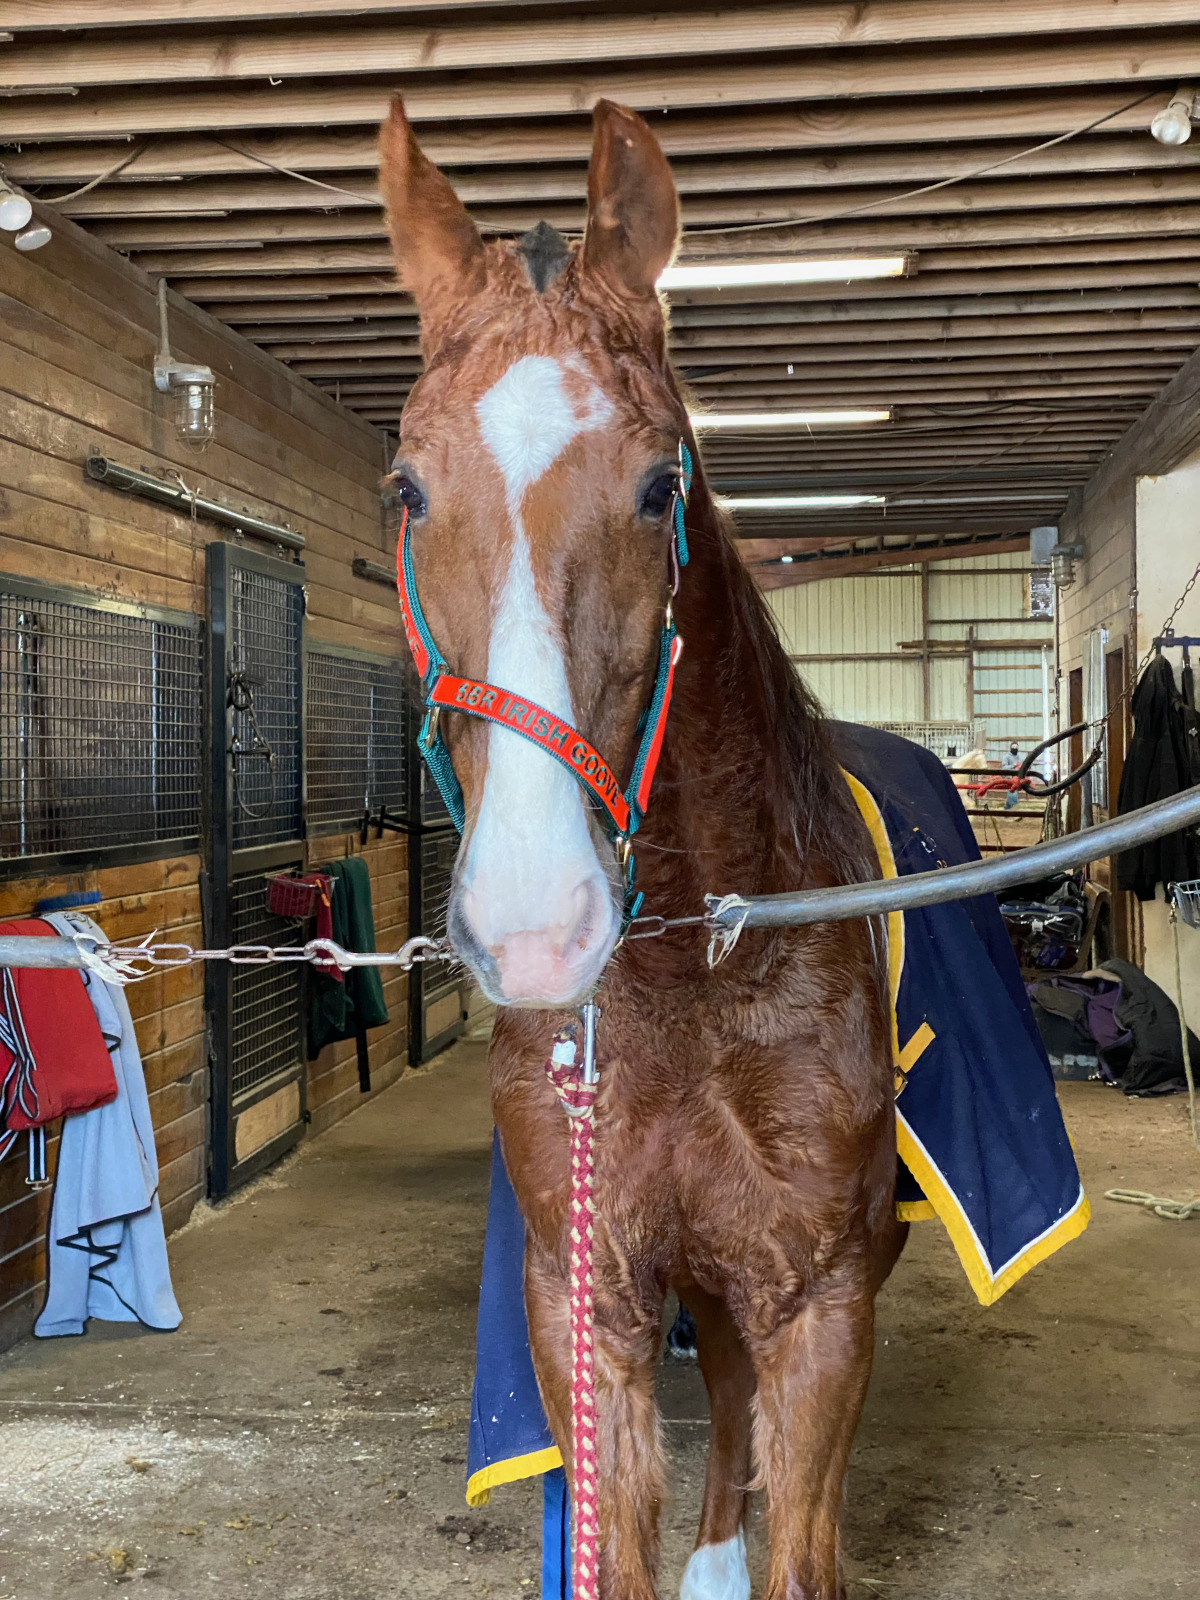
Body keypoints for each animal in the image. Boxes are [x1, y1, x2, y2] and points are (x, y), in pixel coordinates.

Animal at [379, 97, 907, 1600]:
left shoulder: (821, 1300)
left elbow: (801, 1547)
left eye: (661, 482)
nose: (535, 924)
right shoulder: (593, 1299)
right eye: (407, 489)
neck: (688, 971)